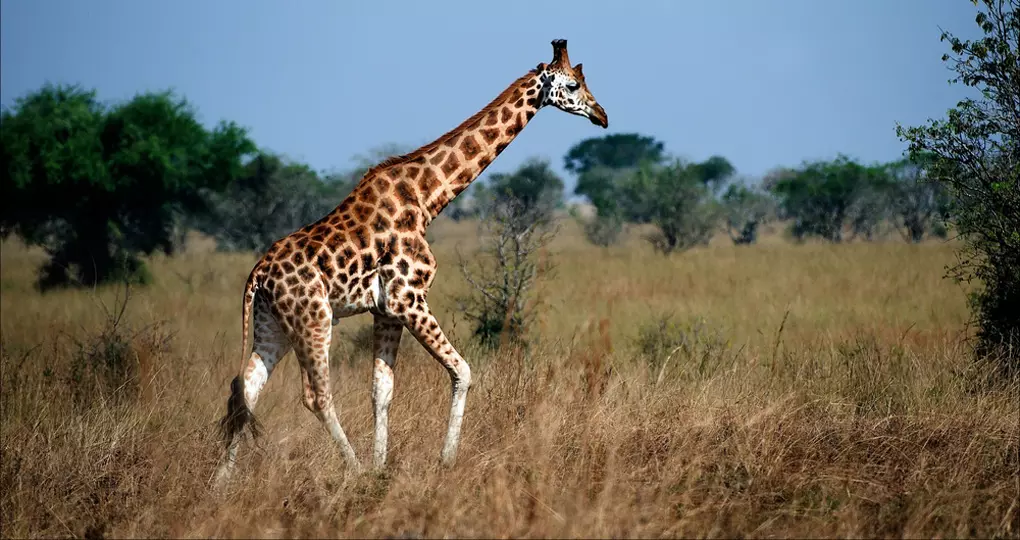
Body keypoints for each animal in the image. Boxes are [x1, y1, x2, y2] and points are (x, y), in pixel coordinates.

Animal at [214, 38, 608, 482]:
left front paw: (382, 466)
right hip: (312, 318)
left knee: (246, 393)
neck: (428, 197)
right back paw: (352, 470)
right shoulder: (409, 297)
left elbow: (381, 391)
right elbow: (463, 371)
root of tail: (258, 275)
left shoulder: (385, 308)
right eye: (573, 85)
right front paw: (443, 460)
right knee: (315, 395)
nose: (602, 115)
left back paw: (220, 485)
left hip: (273, 326)